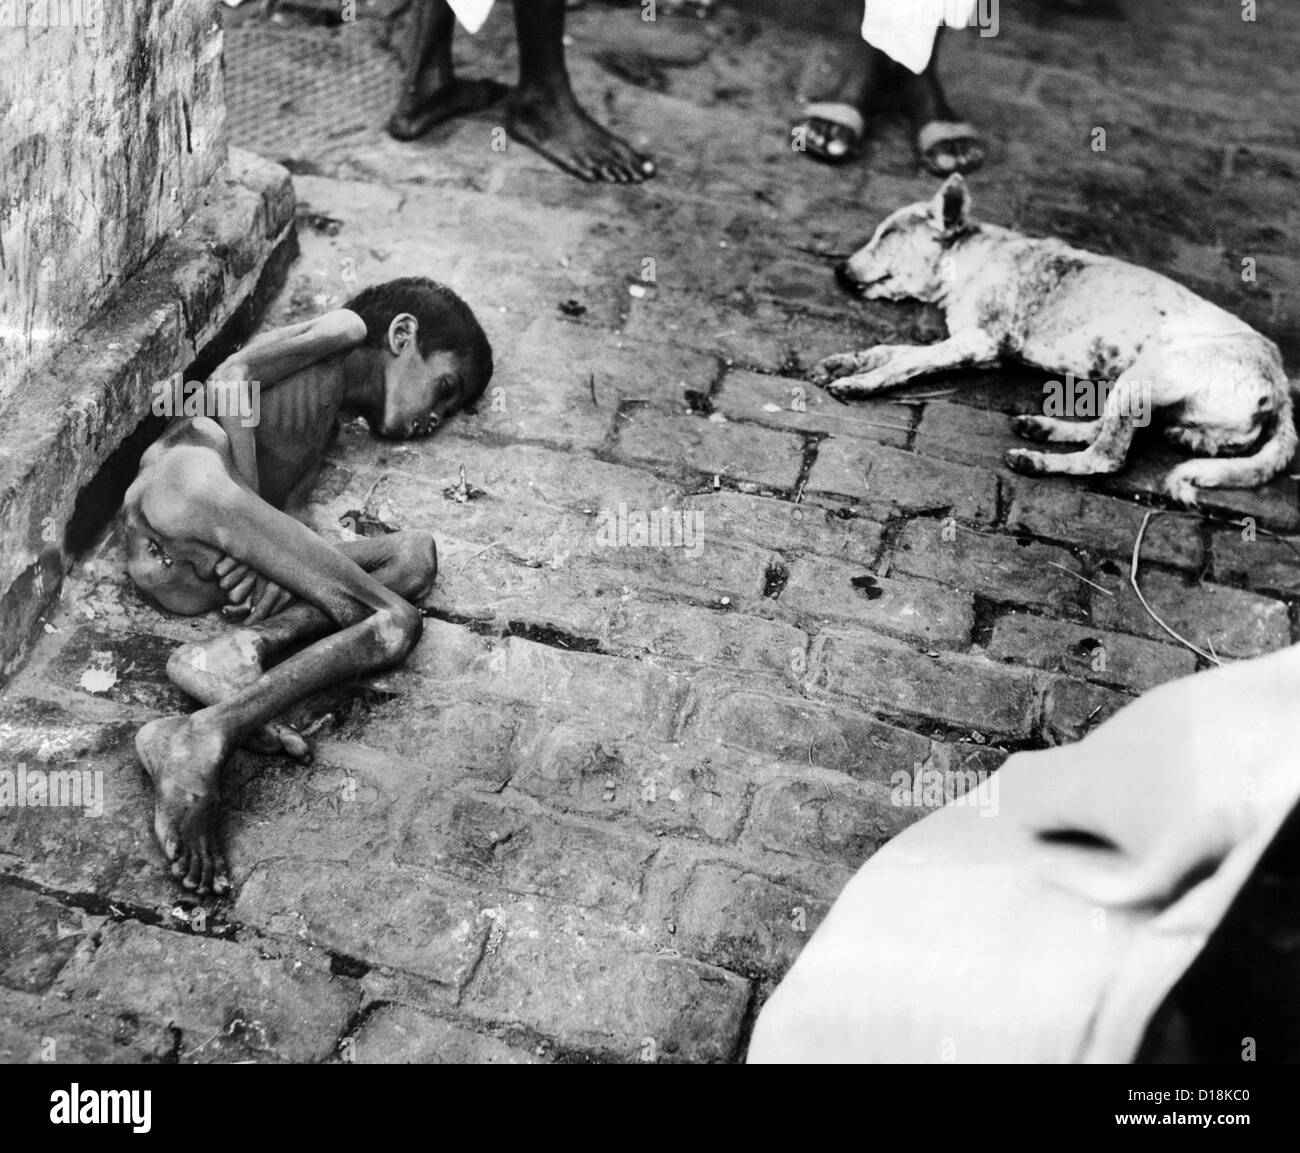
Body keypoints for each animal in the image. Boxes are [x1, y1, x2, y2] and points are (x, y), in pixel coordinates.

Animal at [816, 178, 1294, 501]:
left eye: (886, 235)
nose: (837, 271)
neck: (972, 259)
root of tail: (1281, 383)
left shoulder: (980, 342)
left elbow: (903, 361)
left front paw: (858, 382)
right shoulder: (971, 344)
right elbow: (890, 350)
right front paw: (846, 362)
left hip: (1144, 377)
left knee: (1106, 455)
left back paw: (1036, 459)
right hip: (1142, 390)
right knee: (1103, 430)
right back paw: (1043, 427)